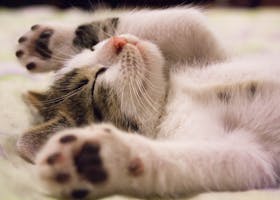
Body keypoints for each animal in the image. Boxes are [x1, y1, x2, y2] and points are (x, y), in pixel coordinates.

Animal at [34, 35, 280, 199]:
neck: (170, 99)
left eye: (92, 47)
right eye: (94, 84)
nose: (118, 40)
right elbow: (224, 160)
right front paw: (100, 158)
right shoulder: (256, 157)